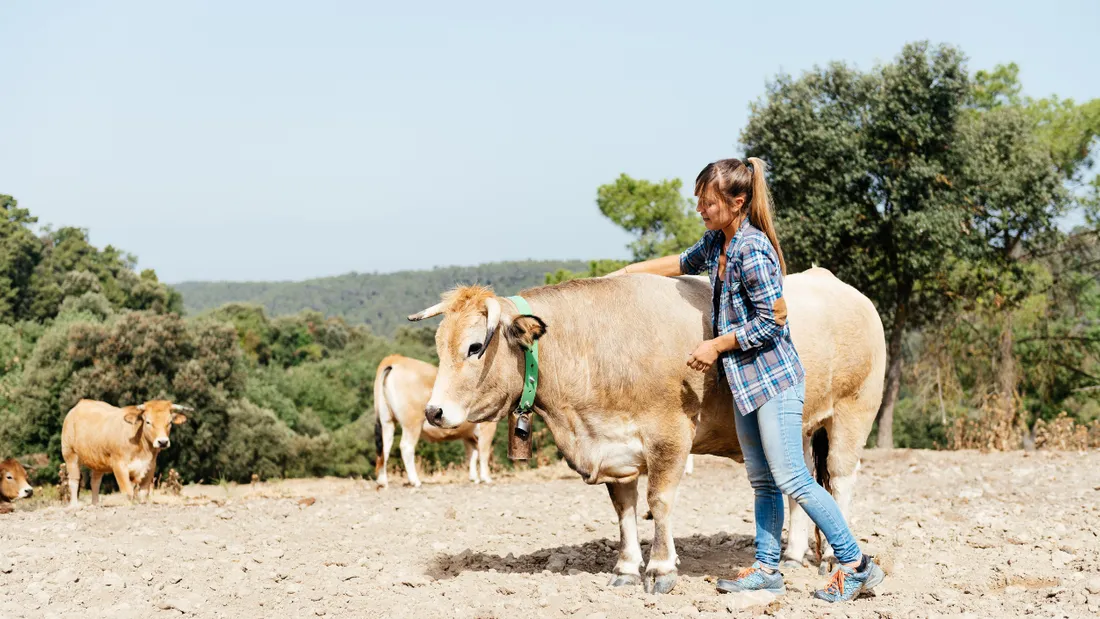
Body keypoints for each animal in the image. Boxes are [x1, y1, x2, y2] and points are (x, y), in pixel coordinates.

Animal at [61, 399, 191, 507]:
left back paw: (96, 504)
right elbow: (128, 491)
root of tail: (81, 404)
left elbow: (143, 492)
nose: (163, 442)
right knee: (74, 480)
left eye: (170, 422)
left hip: (98, 460)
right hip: (70, 454)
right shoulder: (119, 465)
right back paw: (74, 505)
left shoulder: (150, 466)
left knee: (95, 482)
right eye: (148, 422)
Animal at [373, 355, 497, 488]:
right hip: (412, 422)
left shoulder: (467, 434)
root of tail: (396, 358)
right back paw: (415, 481)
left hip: (387, 420)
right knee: (406, 447)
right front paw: (486, 478)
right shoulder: (487, 426)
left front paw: (474, 478)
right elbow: (483, 452)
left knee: (384, 448)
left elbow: (472, 453)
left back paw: (382, 481)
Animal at [408, 268, 885, 593]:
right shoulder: (613, 450)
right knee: (799, 485)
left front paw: (659, 568)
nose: (434, 411)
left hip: (852, 412)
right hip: (797, 428)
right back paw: (792, 555)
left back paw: (835, 562)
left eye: (475, 347)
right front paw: (624, 567)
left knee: (838, 480)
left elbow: (659, 501)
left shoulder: (669, 436)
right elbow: (624, 512)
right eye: (438, 345)